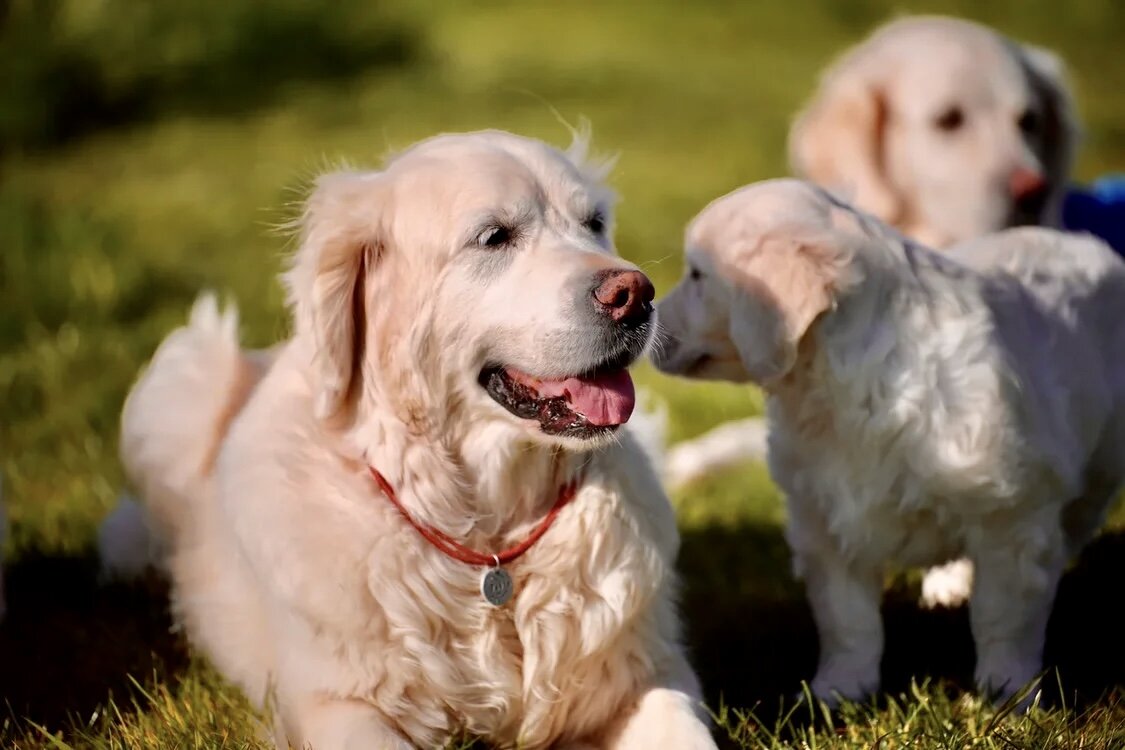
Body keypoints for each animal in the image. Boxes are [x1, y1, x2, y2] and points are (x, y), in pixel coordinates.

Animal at [107, 132, 720, 746]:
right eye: (494, 236)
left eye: (594, 223)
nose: (636, 293)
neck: (490, 536)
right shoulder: (337, 705)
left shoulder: (648, 672)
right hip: (185, 365)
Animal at [652, 178, 1125, 706]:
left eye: (697, 275)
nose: (648, 316)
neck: (835, 386)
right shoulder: (823, 520)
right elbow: (847, 619)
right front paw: (838, 690)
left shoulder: (1010, 514)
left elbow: (1003, 614)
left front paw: (1006, 694)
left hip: (1096, 469)